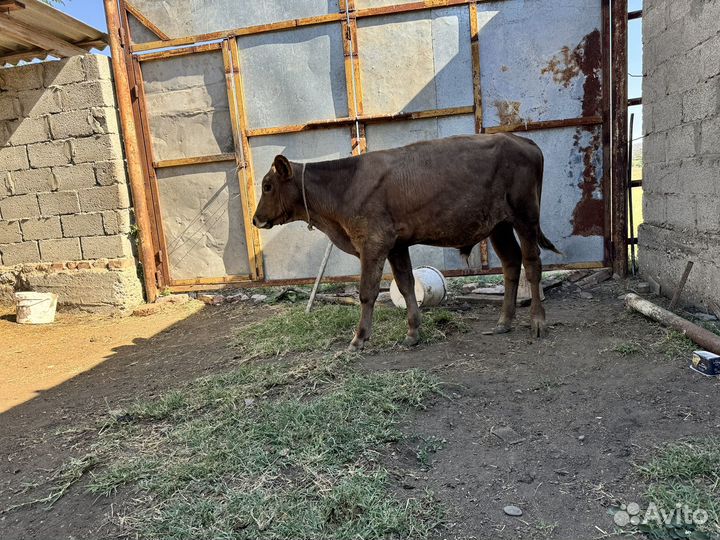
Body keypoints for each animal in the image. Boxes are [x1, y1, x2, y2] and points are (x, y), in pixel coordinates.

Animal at [252, 133, 560, 352]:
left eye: (267, 186)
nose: (255, 219)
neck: (344, 185)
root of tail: (522, 140)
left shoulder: (373, 242)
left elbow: (367, 292)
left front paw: (359, 339)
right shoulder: (397, 245)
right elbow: (406, 285)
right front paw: (413, 332)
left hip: (525, 217)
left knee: (532, 264)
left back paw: (538, 322)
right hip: (499, 226)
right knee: (511, 264)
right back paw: (503, 322)